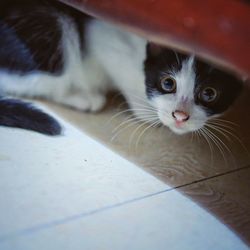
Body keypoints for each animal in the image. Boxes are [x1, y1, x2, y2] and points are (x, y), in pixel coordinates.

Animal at [0, 0, 243, 136]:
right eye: (167, 83)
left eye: (209, 93)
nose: (180, 116)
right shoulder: (104, 36)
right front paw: (149, 114)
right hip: (54, 31)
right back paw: (83, 98)